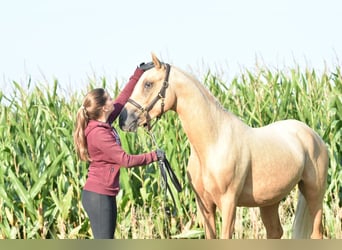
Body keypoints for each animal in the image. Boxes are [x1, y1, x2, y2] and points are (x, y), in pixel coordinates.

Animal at [119, 54, 328, 238]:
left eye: (148, 84)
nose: (123, 120)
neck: (213, 142)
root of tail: (313, 135)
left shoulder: (228, 203)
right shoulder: (204, 205)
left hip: (314, 193)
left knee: (316, 233)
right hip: (270, 201)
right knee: (275, 232)